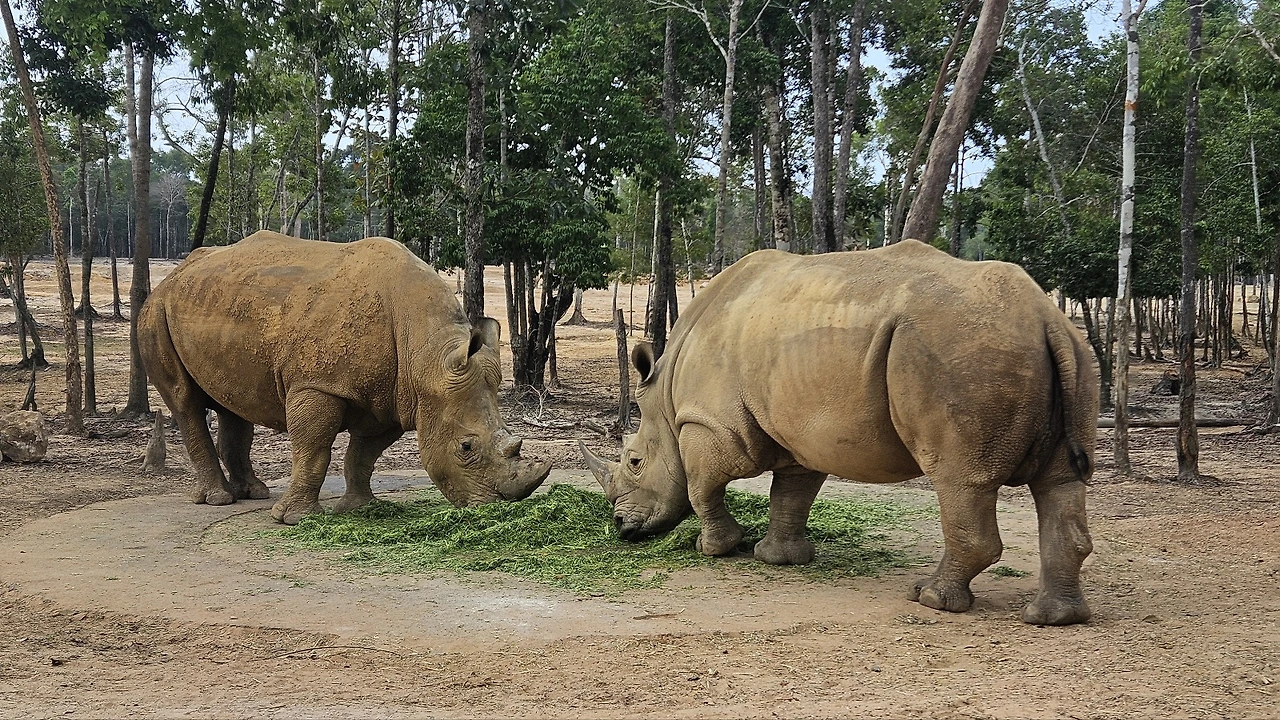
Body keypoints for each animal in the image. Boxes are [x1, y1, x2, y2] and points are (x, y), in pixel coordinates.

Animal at [139, 230, 551, 524]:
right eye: (465, 448)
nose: (494, 509)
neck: (426, 354)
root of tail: (174, 275)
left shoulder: (394, 399)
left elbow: (363, 453)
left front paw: (360, 509)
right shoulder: (317, 385)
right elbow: (314, 448)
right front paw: (295, 520)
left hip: (216, 304)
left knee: (234, 402)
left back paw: (253, 493)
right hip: (155, 311)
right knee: (185, 402)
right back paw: (219, 500)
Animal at [580, 240, 1098, 626]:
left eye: (634, 462)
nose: (621, 527)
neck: (665, 398)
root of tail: (1044, 317)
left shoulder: (710, 424)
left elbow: (702, 485)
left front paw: (713, 549)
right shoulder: (798, 429)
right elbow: (791, 493)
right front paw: (779, 558)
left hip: (963, 353)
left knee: (961, 480)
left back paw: (930, 598)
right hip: (1066, 351)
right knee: (1061, 482)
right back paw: (1052, 618)